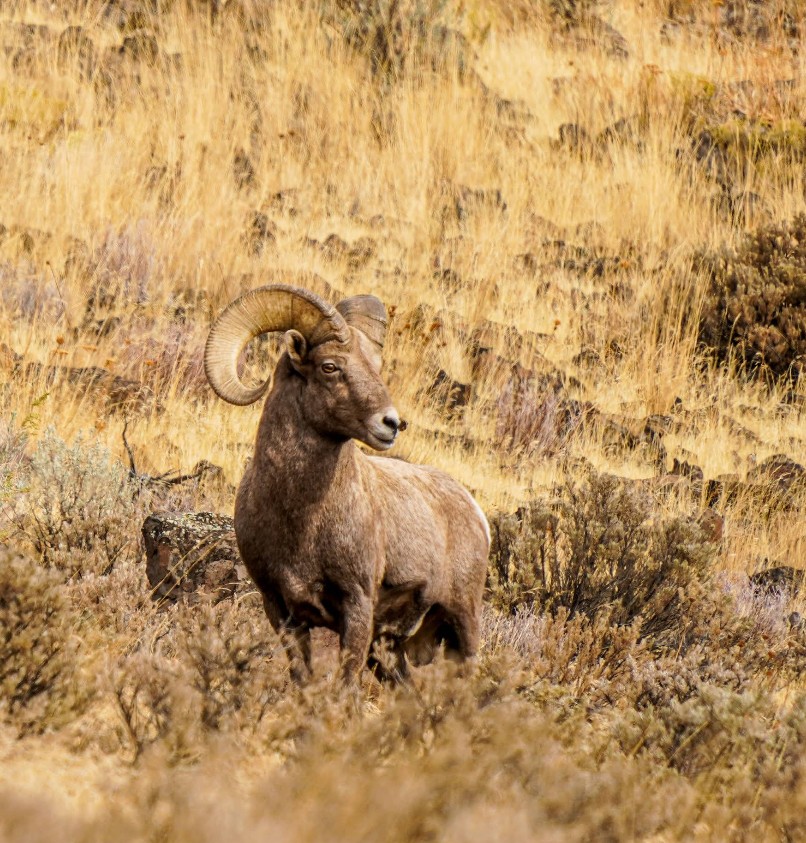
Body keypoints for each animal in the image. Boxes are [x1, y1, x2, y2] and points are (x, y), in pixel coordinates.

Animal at [204, 282, 490, 683]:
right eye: (330, 367)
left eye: (376, 366)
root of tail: (475, 511)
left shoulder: (357, 608)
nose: (391, 424)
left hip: (463, 621)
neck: (303, 520)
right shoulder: (281, 611)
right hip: (389, 649)